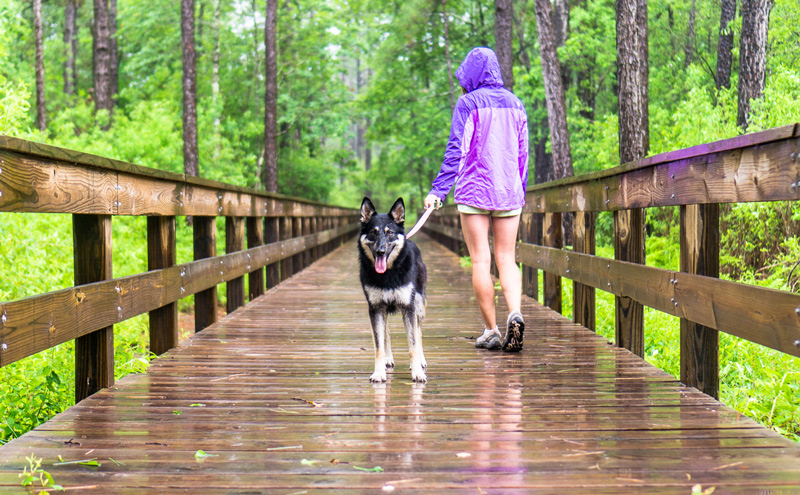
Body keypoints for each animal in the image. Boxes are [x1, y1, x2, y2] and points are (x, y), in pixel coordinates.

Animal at [358, 198, 428, 384]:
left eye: (390, 233)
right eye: (373, 233)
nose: (380, 252)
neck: (388, 274)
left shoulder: (409, 308)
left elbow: (413, 343)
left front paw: (417, 371)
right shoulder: (375, 308)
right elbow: (379, 345)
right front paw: (378, 372)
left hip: (419, 305)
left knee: (419, 332)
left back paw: (421, 360)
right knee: (386, 333)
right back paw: (388, 359)